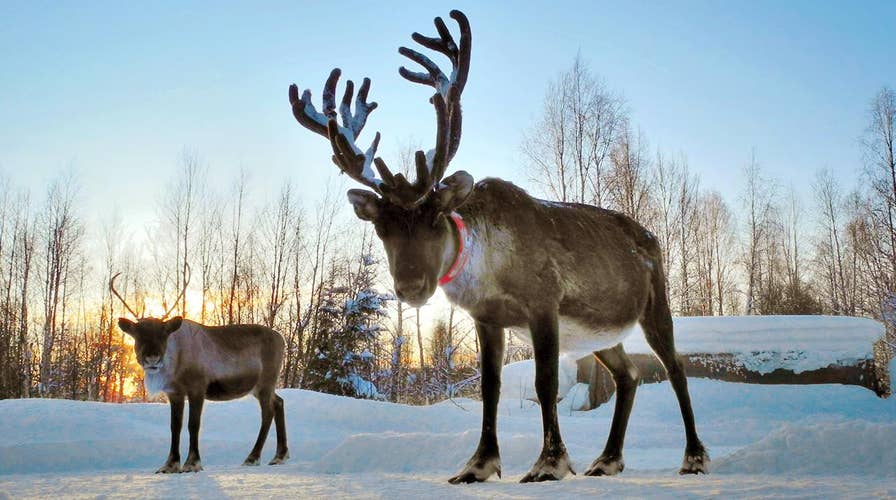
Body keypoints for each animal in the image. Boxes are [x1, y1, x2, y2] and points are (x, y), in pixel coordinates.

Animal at [111, 272, 289, 473]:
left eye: (164, 333)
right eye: (137, 334)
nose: (152, 358)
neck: (176, 360)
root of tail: (282, 339)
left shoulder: (197, 388)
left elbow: (193, 425)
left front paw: (192, 463)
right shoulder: (175, 392)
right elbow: (175, 426)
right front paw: (169, 465)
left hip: (266, 382)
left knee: (268, 412)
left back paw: (252, 457)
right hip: (259, 387)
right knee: (279, 402)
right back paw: (279, 456)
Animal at [287, 9, 709, 483]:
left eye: (435, 217)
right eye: (381, 227)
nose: (412, 287)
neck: (486, 271)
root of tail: (650, 237)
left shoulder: (544, 304)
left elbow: (545, 383)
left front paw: (550, 463)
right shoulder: (486, 319)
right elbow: (490, 387)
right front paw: (478, 464)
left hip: (655, 304)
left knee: (675, 369)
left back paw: (693, 456)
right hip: (600, 333)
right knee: (630, 374)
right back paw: (607, 459)